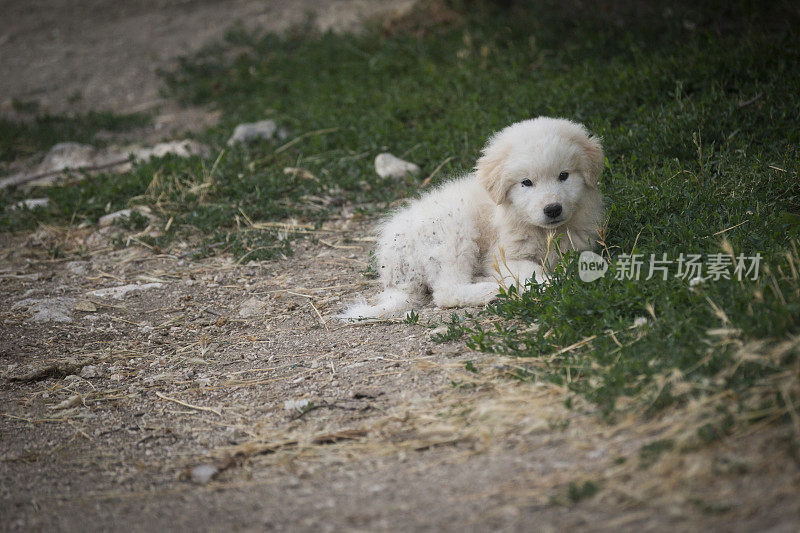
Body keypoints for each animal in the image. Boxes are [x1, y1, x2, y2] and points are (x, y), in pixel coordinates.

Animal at [340, 115, 604, 316]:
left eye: (564, 175)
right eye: (526, 182)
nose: (553, 209)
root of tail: (393, 267)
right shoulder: (502, 257)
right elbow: (535, 272)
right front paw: (555, 285)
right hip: (453, 233)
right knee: (447, 291)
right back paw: (494, 289)